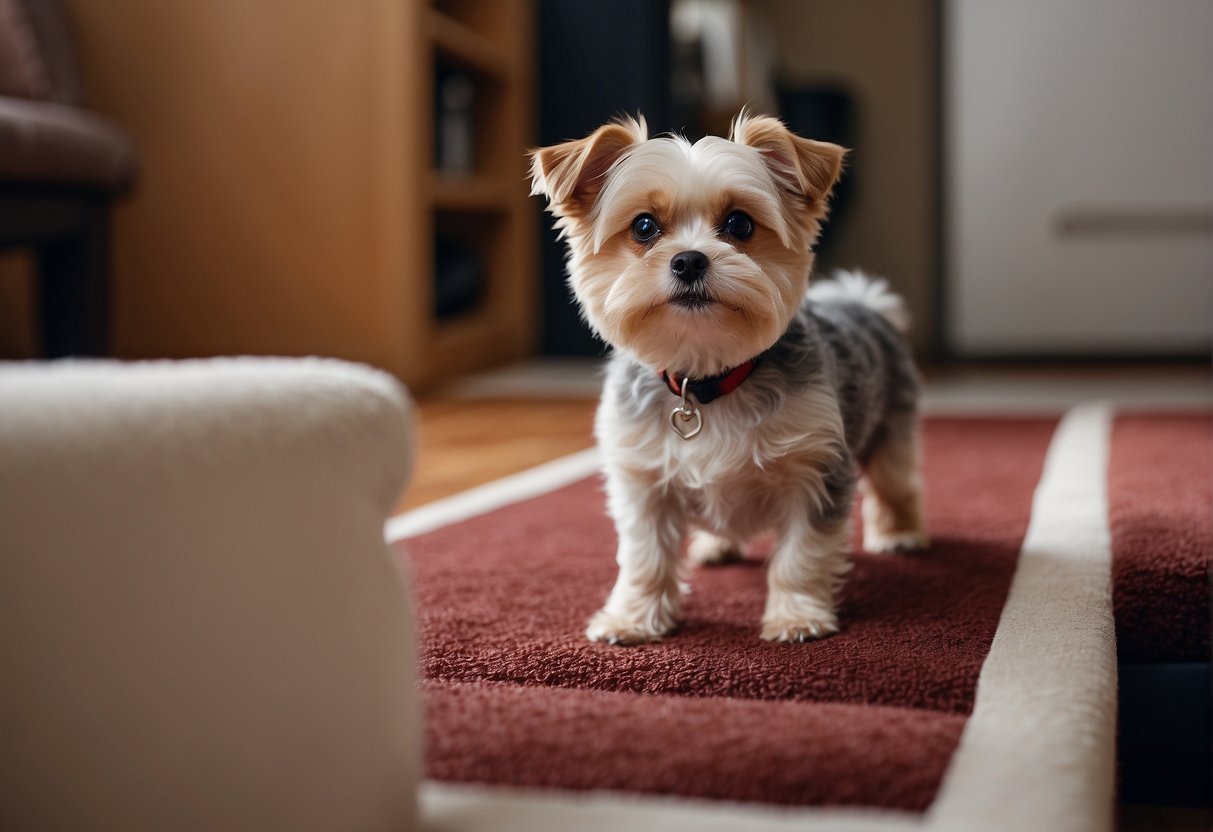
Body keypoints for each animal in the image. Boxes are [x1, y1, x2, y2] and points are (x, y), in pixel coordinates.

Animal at [531, 112, 926, 645]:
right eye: (644, 226)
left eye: (740, 223)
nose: (689, 259)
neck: (706, 380)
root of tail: (862, 302)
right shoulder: (643, 481)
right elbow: (644, 558)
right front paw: (632, 618)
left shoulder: (816, 468)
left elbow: (802, 553)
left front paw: (796, 616)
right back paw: (714, 547)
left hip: (891, 430)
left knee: (896, 483)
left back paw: (902, 534)